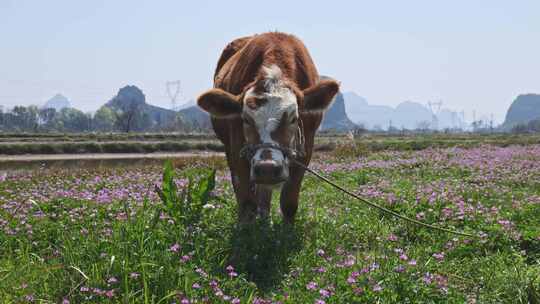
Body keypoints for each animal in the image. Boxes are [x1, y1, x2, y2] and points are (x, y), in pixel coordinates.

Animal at [198, 32, 338, 223]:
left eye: (294, 118)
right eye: (246, 119)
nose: (267, 168)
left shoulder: (305, 149)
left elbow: (289, 203)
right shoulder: (237, 148)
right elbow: (246, 201)